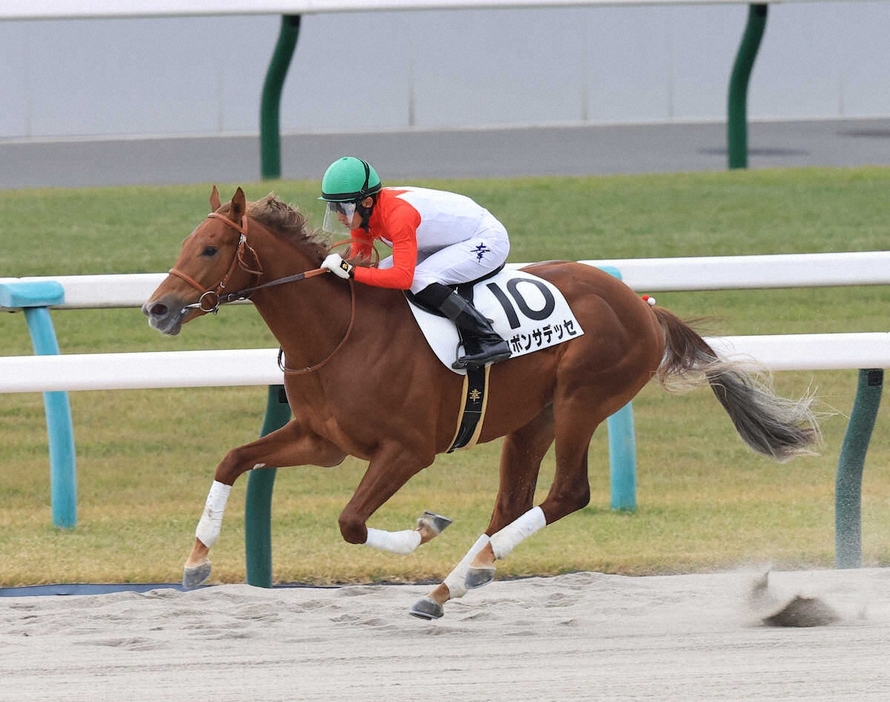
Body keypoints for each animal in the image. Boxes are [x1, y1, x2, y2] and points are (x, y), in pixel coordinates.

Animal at [144, 187, 820, 620]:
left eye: (210, 249)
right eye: (184, 243)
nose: (156, 308)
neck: (341, 332)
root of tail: (643, 305)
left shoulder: (407, 451)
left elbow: (352, 522)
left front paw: (423, 528)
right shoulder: (322, 441)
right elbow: (233, 460)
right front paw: (196, 563)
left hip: (582, 401)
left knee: (566, 494)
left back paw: (456, 580)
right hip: (533, 419)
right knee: (511, 505)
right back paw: (455, 584)